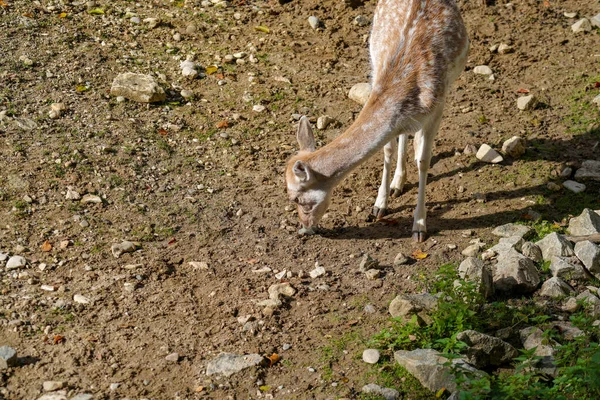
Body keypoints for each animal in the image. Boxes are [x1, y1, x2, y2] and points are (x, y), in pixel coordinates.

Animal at [286, 0, 468, 241]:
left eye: (296, 198)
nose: (305, 228)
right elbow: (388, 148)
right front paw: (379, 205)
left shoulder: (438, 106)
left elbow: (423, 161)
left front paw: (419, 225)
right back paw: (397, 182)